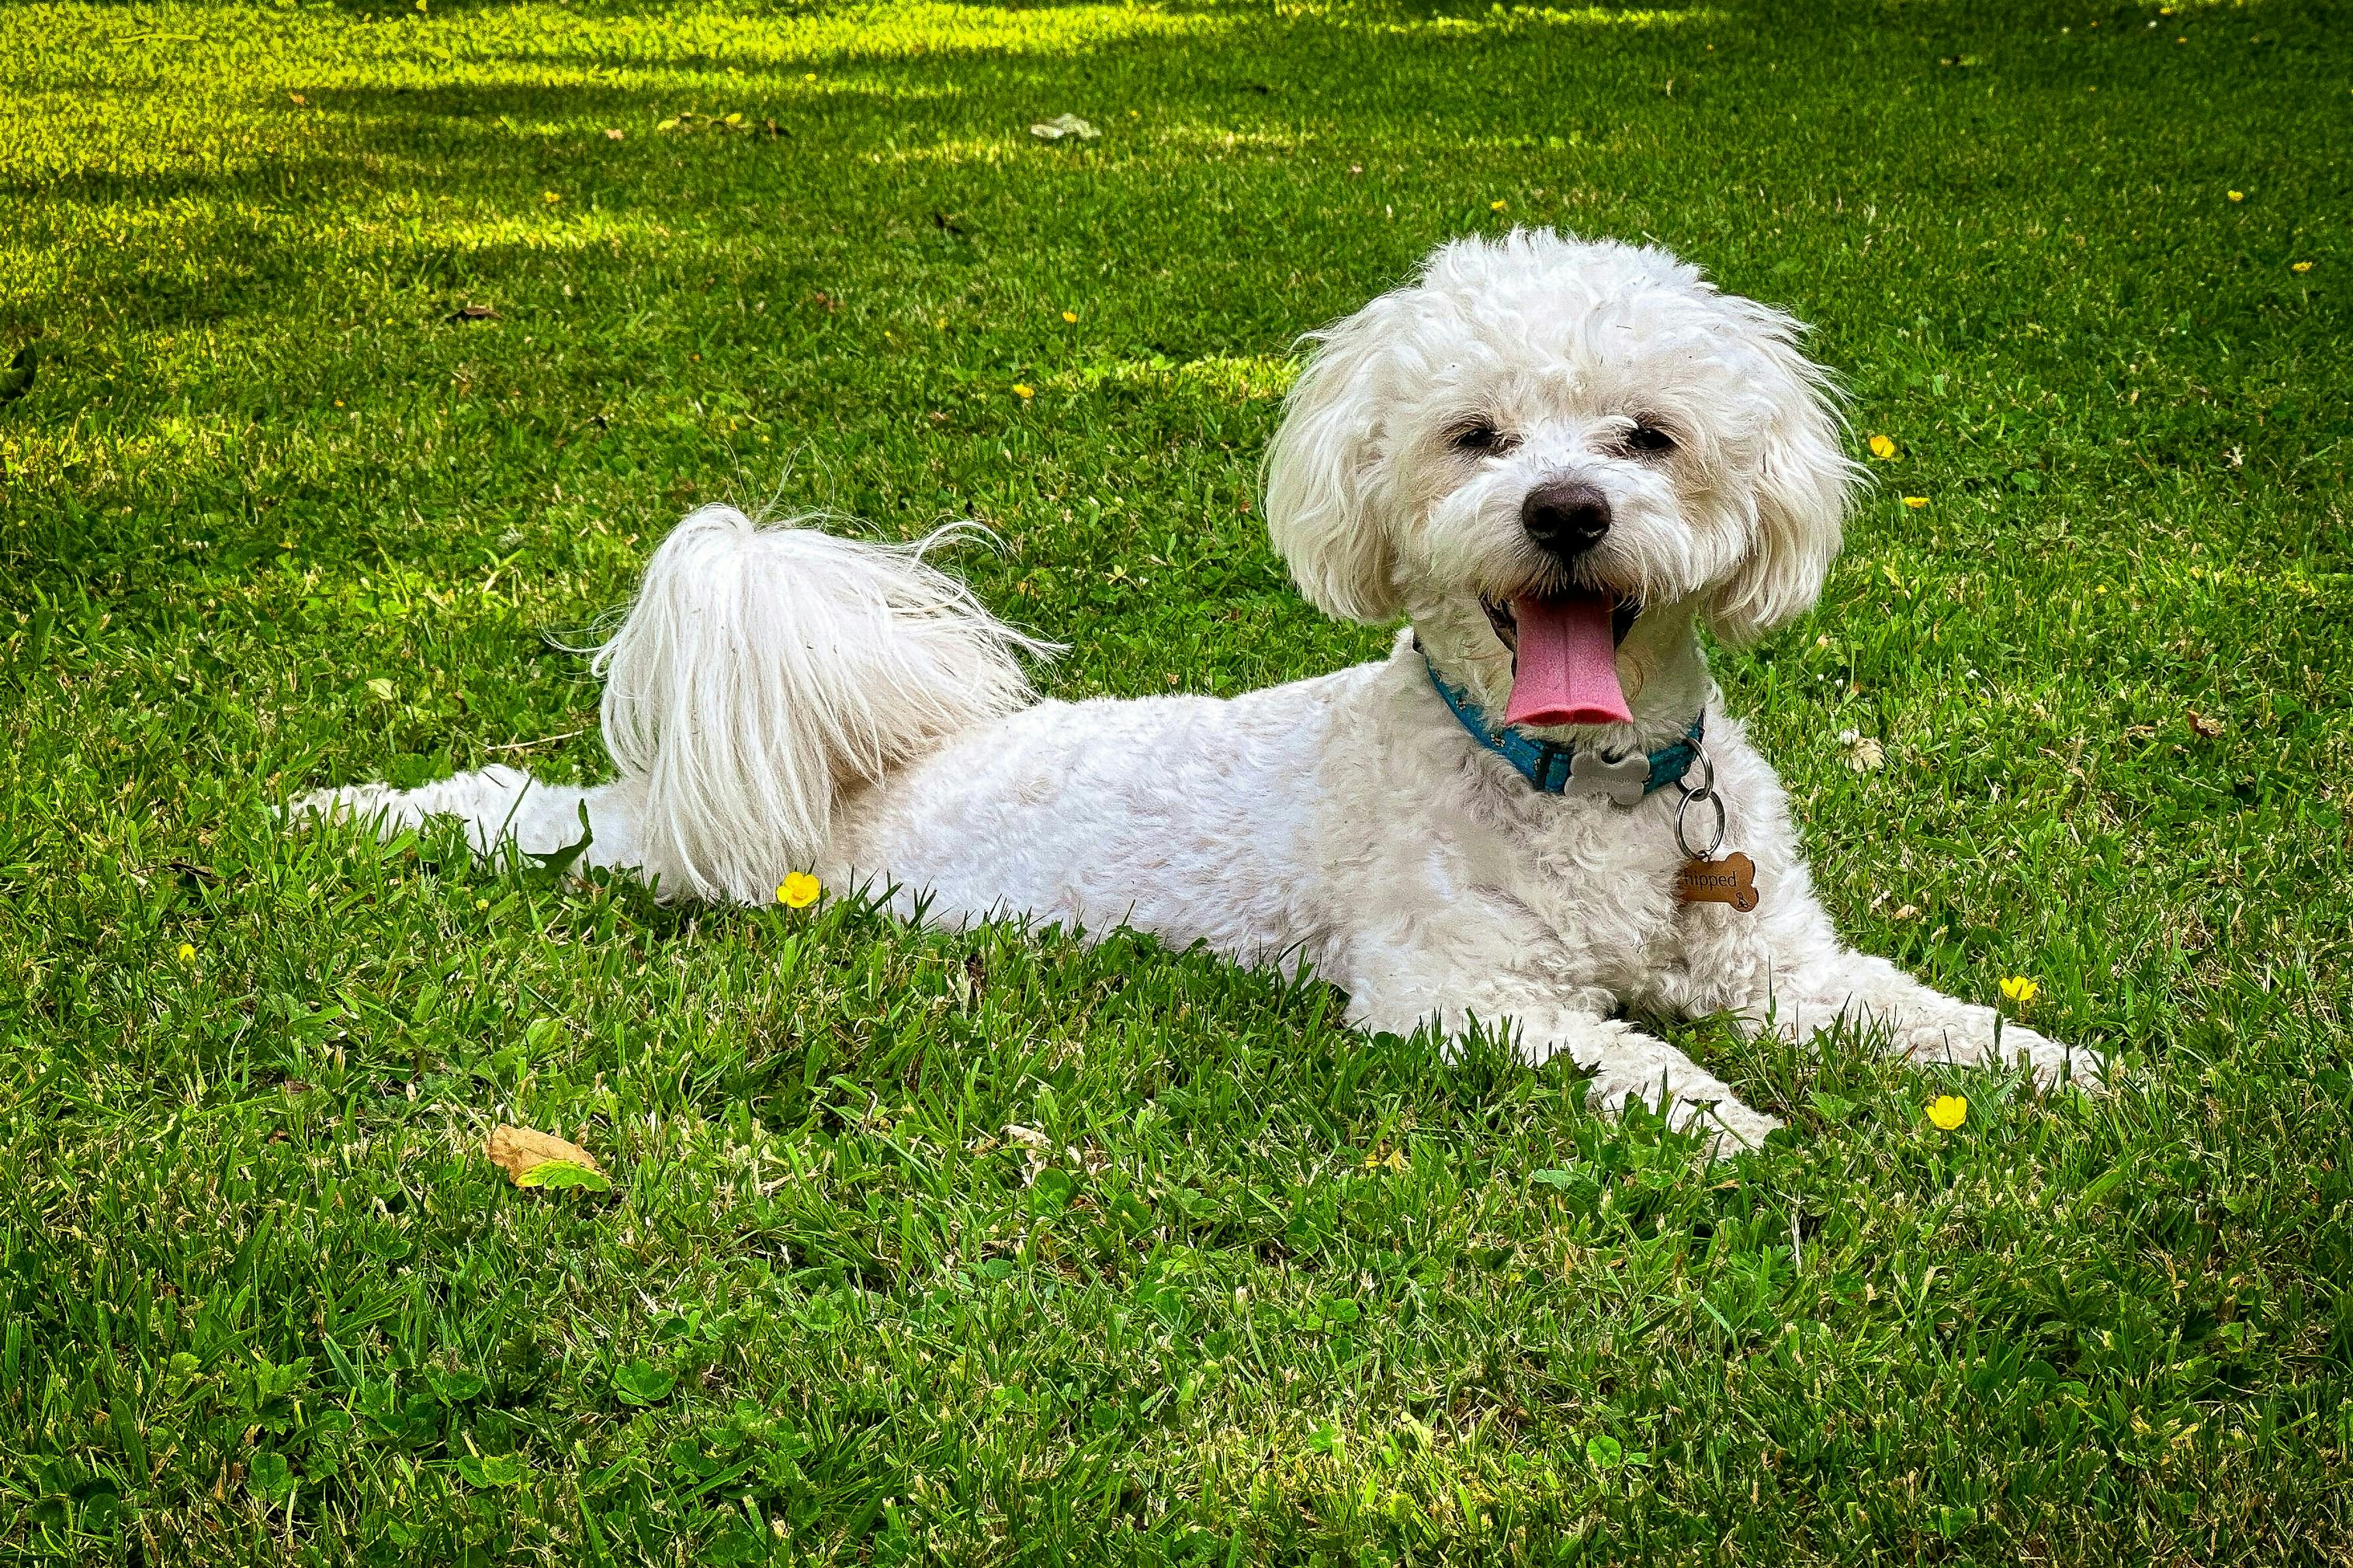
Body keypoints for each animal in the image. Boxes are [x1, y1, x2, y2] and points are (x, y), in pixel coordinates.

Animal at [299, 227, 2098, 1147]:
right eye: (1476, 436)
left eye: (1646, 435)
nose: (1566, 511)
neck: (1579, 787)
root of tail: (855, 775)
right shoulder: (1446, 989)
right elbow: (1623, 1050)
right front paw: (1711, 1109)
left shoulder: (1780, 963)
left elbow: (1906, 1009)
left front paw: (2056, 1065)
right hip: (682, 851)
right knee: (524, 806)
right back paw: (341, 805)